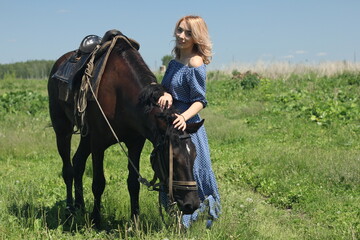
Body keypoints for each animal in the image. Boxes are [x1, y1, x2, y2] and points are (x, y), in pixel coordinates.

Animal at [46, 32, 201, 228]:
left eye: (194, 155)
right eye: (171, 157)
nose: (192, 204)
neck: (119, 93)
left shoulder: (135, 143)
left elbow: (133, 183)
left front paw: (135, 221)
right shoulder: (98, 143)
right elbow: (98, 183)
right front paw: (96, 220)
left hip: (86, 136)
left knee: (78, 162)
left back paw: (80, 206)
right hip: (62, 129)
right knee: (68, 168)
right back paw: (70, 209)